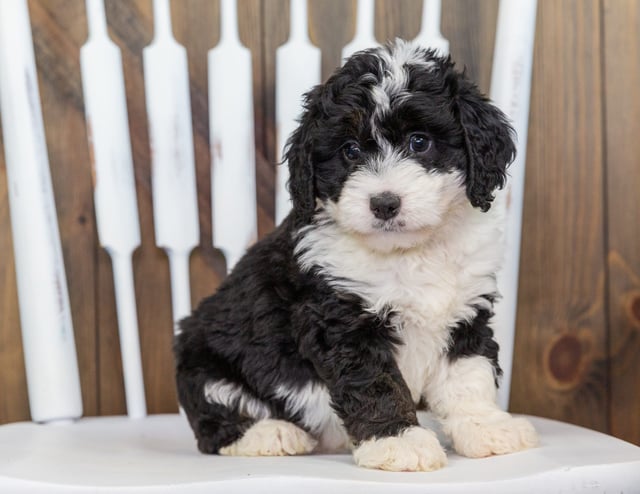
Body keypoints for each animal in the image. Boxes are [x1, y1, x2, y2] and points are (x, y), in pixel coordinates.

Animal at [174, 40, 536, 472]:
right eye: (349, 151)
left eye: (419, 142)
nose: (384, 204)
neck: (408, 251)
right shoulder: (341, 321)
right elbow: (375, 382)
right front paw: (397, 441)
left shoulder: (466, 311)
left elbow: (469, 375)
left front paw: (486, 427)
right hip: (203, 363)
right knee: (214, 422)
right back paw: (271, 434)